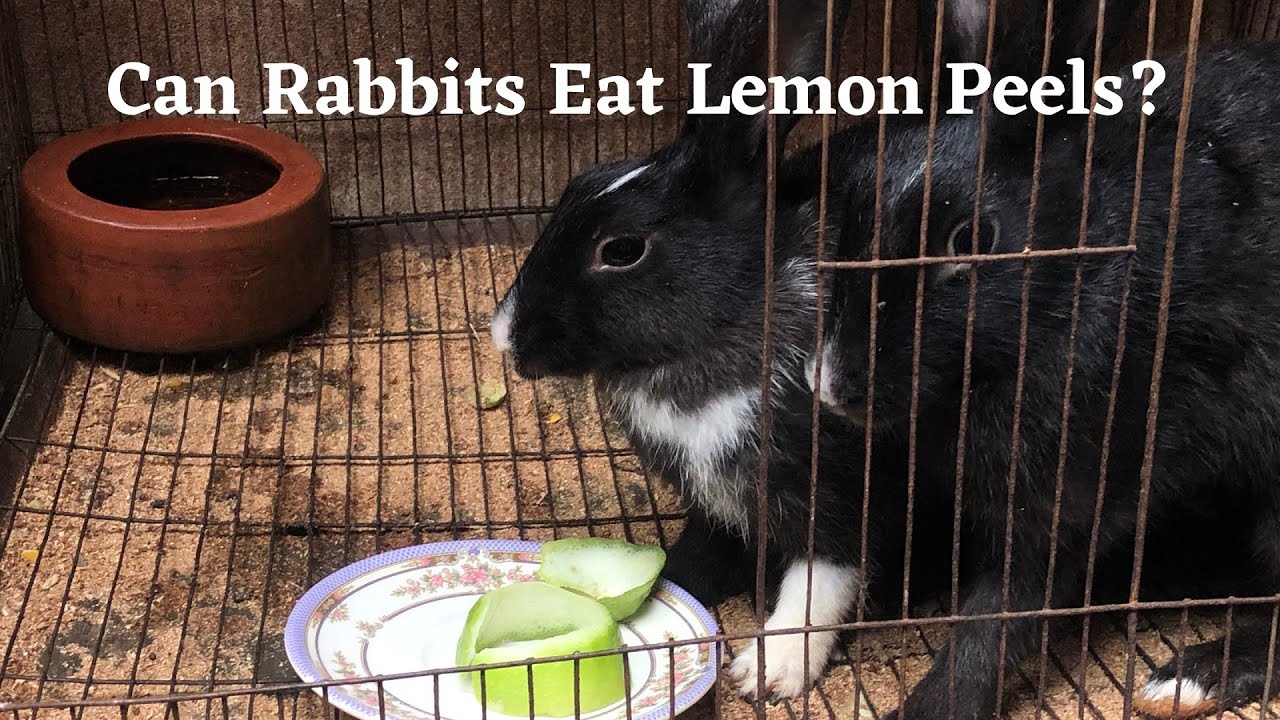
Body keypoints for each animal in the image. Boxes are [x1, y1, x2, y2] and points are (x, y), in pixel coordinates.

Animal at [490, 0, 968, 701]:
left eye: (621, 249)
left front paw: (770, 671)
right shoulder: (714, 500)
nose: (503, 334)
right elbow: (698, 556)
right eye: (577, 183)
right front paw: (669, 598)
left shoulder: (841, 490)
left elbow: (820, 582)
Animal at [812, 38, 1280, 720]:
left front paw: (932, 705)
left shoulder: (1072, 480)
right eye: (849, 218)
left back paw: (1188, 681)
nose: (830, 383)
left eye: (972, 240)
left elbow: (1000, 613)